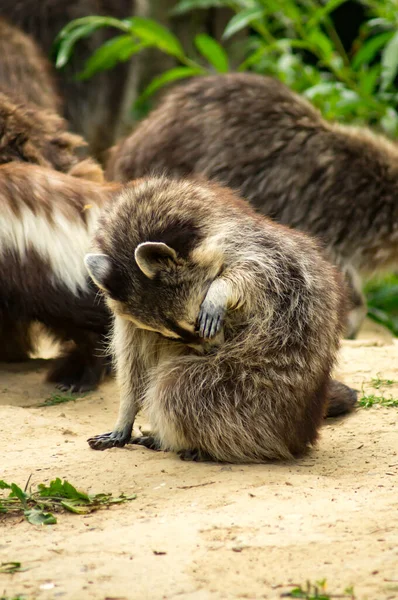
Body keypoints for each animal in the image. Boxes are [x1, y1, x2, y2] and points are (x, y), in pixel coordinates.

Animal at [84, 176, 358, 462]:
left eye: (195, 322)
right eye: (172, 334)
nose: (212, 351)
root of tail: (299, 431)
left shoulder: (254, 244)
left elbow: (256, 270)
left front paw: (221, 290)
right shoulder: (129, 317)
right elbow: (133, 359)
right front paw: (125, 414)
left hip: (261, 385)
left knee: (175, 390)